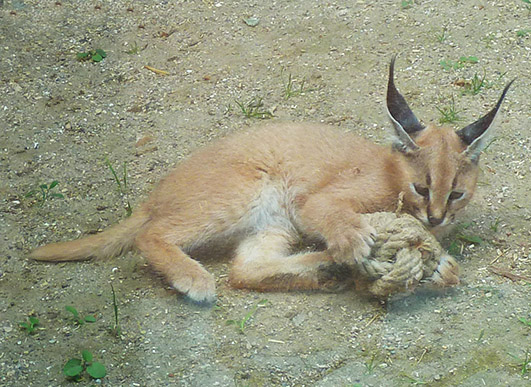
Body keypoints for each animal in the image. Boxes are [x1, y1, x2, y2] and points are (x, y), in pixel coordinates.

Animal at [31, 57, 512, 304]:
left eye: (456, 194)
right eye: (421, 188)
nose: (435, 219)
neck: (390, 172)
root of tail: (155, 194)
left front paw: (441, 264)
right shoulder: (314, 202)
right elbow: (338, 216)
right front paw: (353, 240)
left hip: (272, 224)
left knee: (243, 271)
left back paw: (323, 269)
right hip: (243, 191)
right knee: (151, 234)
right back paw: (194, 278)